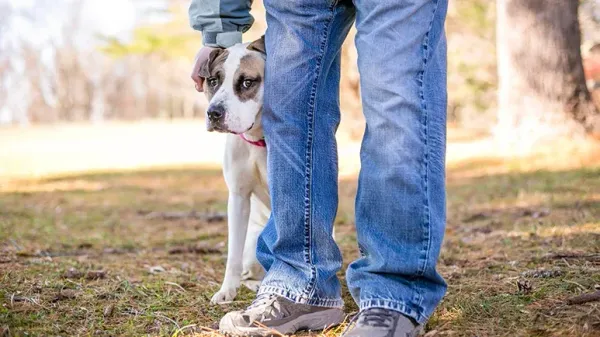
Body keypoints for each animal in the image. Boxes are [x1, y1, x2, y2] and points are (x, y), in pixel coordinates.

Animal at [199, 37, 270, 304]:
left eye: (247, 82)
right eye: (213, 81)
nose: (214, 113)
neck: (259, 140)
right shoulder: (239, 197)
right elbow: (233, 255)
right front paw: (226, 290)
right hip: (253, 247)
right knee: (250, 271)